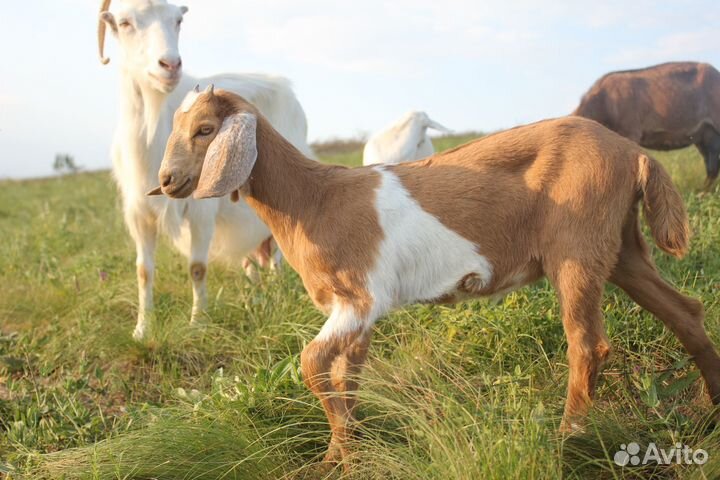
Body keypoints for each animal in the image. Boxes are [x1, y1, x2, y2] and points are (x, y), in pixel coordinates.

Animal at [97, 0, 314, 340]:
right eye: (124, 23)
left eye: (178, 20)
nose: (170, 65)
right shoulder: (139, 215)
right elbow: (143, 271)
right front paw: (142, 329)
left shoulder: (201, 212)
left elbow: (197, 268)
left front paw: (197, 324)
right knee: (253, 259)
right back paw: (256, 297)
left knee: (277, 253)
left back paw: (278, 293)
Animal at [156, 88, 720, 469]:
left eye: (205, 129)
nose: (166, 180)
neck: (313, 198)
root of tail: (634, 153)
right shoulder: (358, 311)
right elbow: (346, 374)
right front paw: (345, 450)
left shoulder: (359, 297)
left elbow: (312, 363)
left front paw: (341, 455)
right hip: (620, 246)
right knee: (685, 312)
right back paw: (711, 409)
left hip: (576, 247)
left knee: (588, 344)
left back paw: (567, 439)